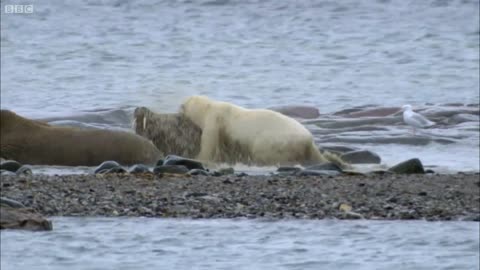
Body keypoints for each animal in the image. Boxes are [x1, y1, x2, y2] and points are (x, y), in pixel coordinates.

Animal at [179, 95, 342, 167]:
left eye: (185, 104)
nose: (180, 106)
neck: (210, 107)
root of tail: (309, 140)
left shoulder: (215, 119)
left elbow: (209, 143)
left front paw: (198, 157)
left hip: (276, 141)